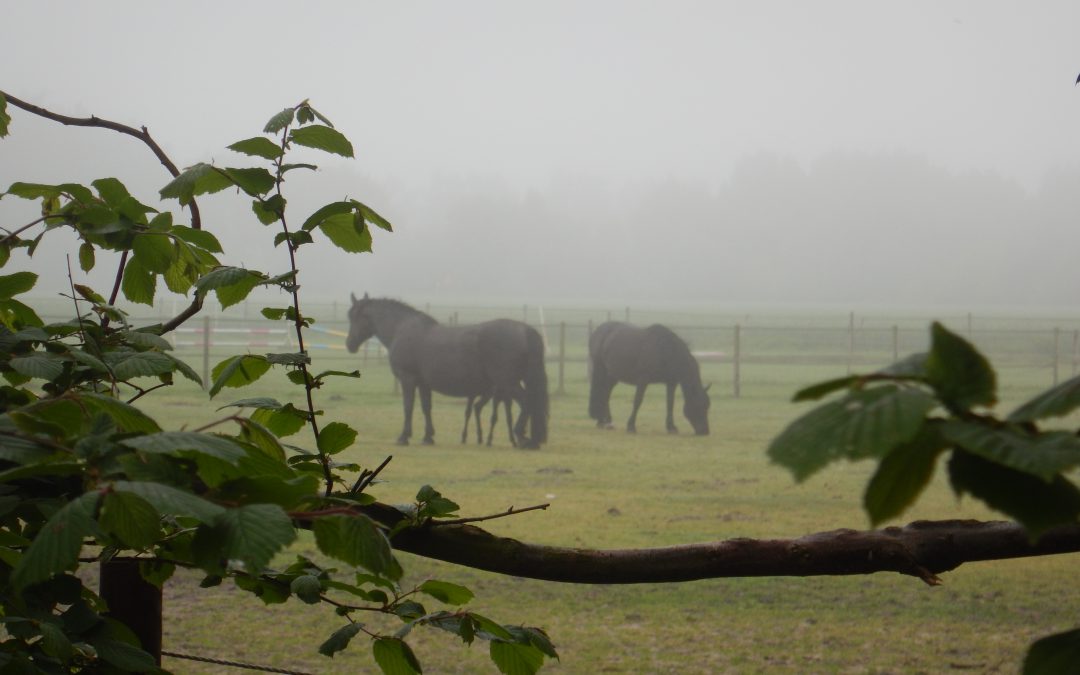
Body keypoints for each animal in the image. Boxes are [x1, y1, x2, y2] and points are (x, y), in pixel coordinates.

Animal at [345, 293, 548, 447]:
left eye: (355, 316)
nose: (349, 344)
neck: (401, 329)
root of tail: (526, 331)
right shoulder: (423, 383)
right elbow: (426, 407)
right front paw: (428, 437)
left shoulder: (408, 379)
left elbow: (408, 407)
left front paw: (404, 437)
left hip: (508, 383)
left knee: (526, 401)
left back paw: (522, 437)